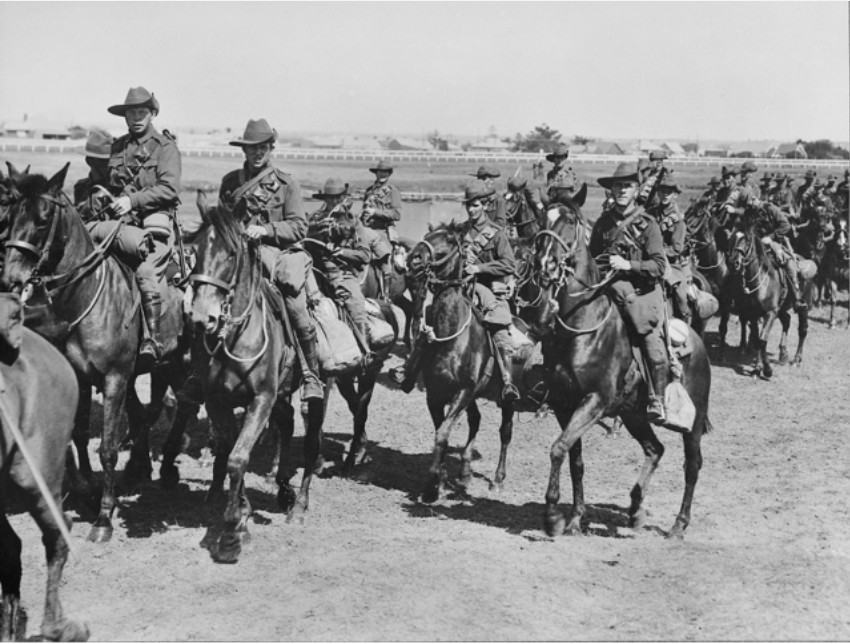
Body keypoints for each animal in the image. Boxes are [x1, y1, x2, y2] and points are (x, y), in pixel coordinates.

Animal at [1, 165, 190, 544]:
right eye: (10, 216)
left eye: (43, 220)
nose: (11, 279)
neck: (86, 297)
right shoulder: (82, 376)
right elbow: (77, 436)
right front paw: (87, 494)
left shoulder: (114, 379)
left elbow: (107, 448)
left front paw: (104, 517)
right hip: (160, 367)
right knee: (154, 409)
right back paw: (142, 467)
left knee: (183, 404)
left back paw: (166, 466)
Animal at [187, 192, 322, 564]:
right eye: (195, 249)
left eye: (232, 253)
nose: (202, 318)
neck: (235, 337)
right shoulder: (218, 401)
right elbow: (231, 452)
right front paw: (242, 517)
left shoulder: (260, 399)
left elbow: (238, 457)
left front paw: (231, 535)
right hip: (281, 395)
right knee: (286, 423)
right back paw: (283, 485)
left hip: (318, 392)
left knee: (311, 441)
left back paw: (300, 506)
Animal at [528, 201, 712, 540]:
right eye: (542, 217)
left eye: (571, 221)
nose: (544, 263)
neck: (582, 325)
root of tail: (697, 341)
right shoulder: (564, 404)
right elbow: (574, 459)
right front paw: (574, 519)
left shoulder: (595, 401)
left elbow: (558, 448)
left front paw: (551, 517)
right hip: (634, 415)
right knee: (655, 449)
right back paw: (636, 509)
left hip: (692, 422)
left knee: (692, 465)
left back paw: (678, 525)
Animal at [724, 214, 812, 378]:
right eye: (732, 238)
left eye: (747, 240)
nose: (733, 262)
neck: (761, 281)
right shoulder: (753, 314)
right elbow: (757, 338)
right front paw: (757, 367)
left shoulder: (770, 313)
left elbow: (762, 340)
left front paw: (767, 370)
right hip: (782, 308)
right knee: (787, 321)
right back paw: (783, 354)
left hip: (804, 305)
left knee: (802, 329)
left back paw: (797, 359)